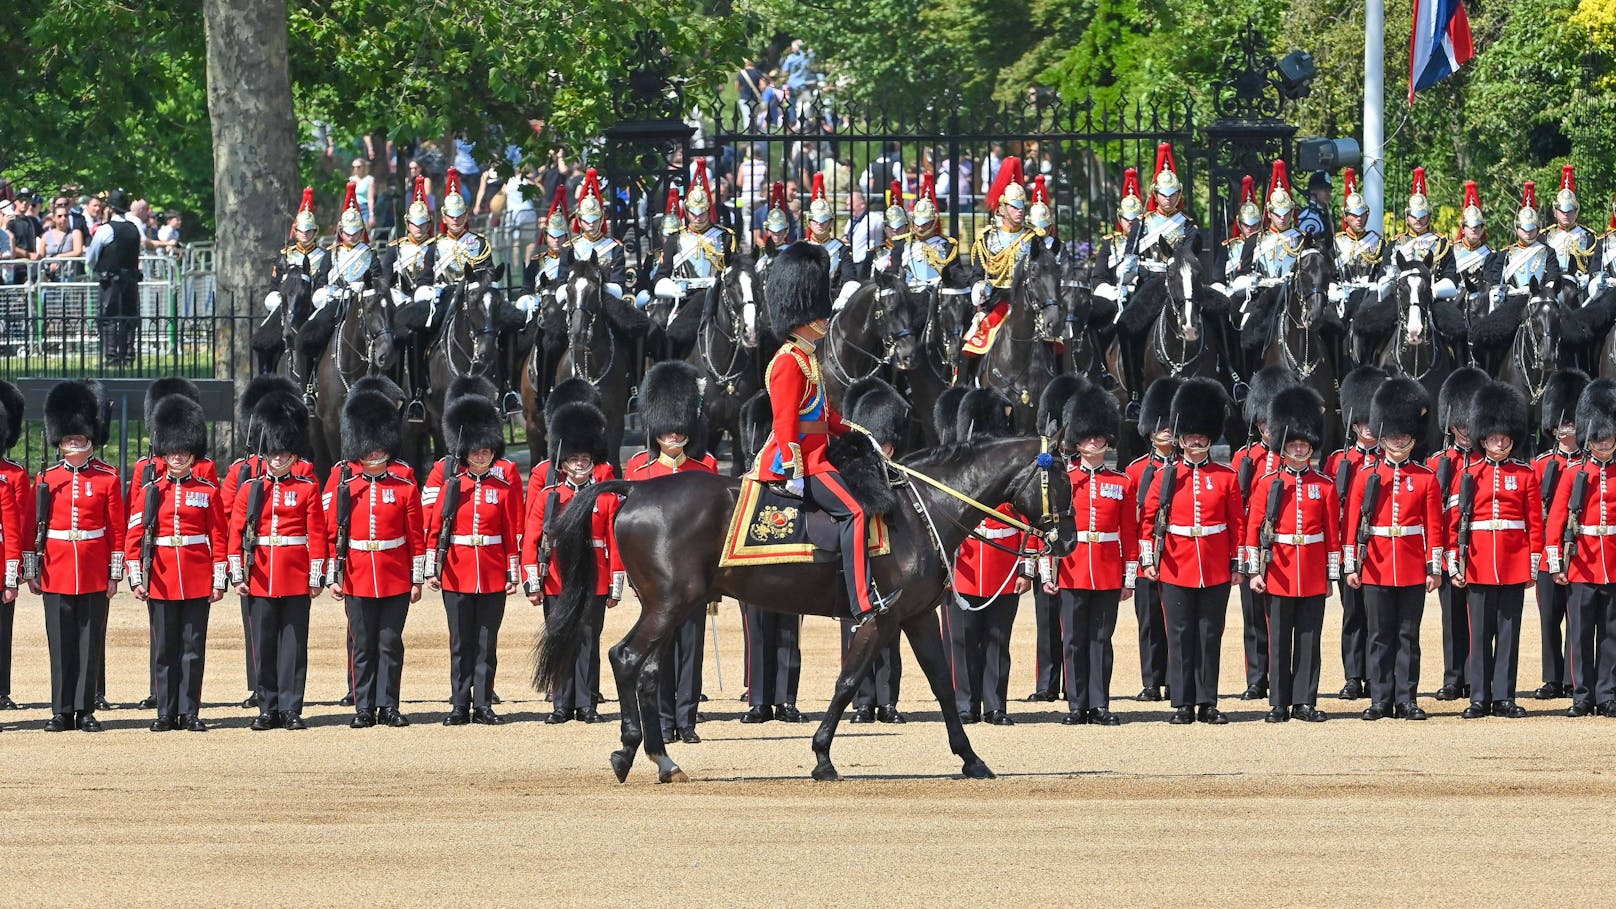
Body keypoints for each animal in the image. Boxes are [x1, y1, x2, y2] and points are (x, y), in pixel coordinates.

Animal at [536, 430, 1079, 779]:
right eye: (1064, 482)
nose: (1069, 543)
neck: (921, 512)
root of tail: (635, 487)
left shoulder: (919, 616)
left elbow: (943, 685)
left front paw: (971, 759)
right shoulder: (881, 616)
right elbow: (846, 681)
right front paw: (822, 757)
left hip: (677, 605)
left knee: (646, 670)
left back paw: (662, 759)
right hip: (668, 604)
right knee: (625, 657)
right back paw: (629, 753)